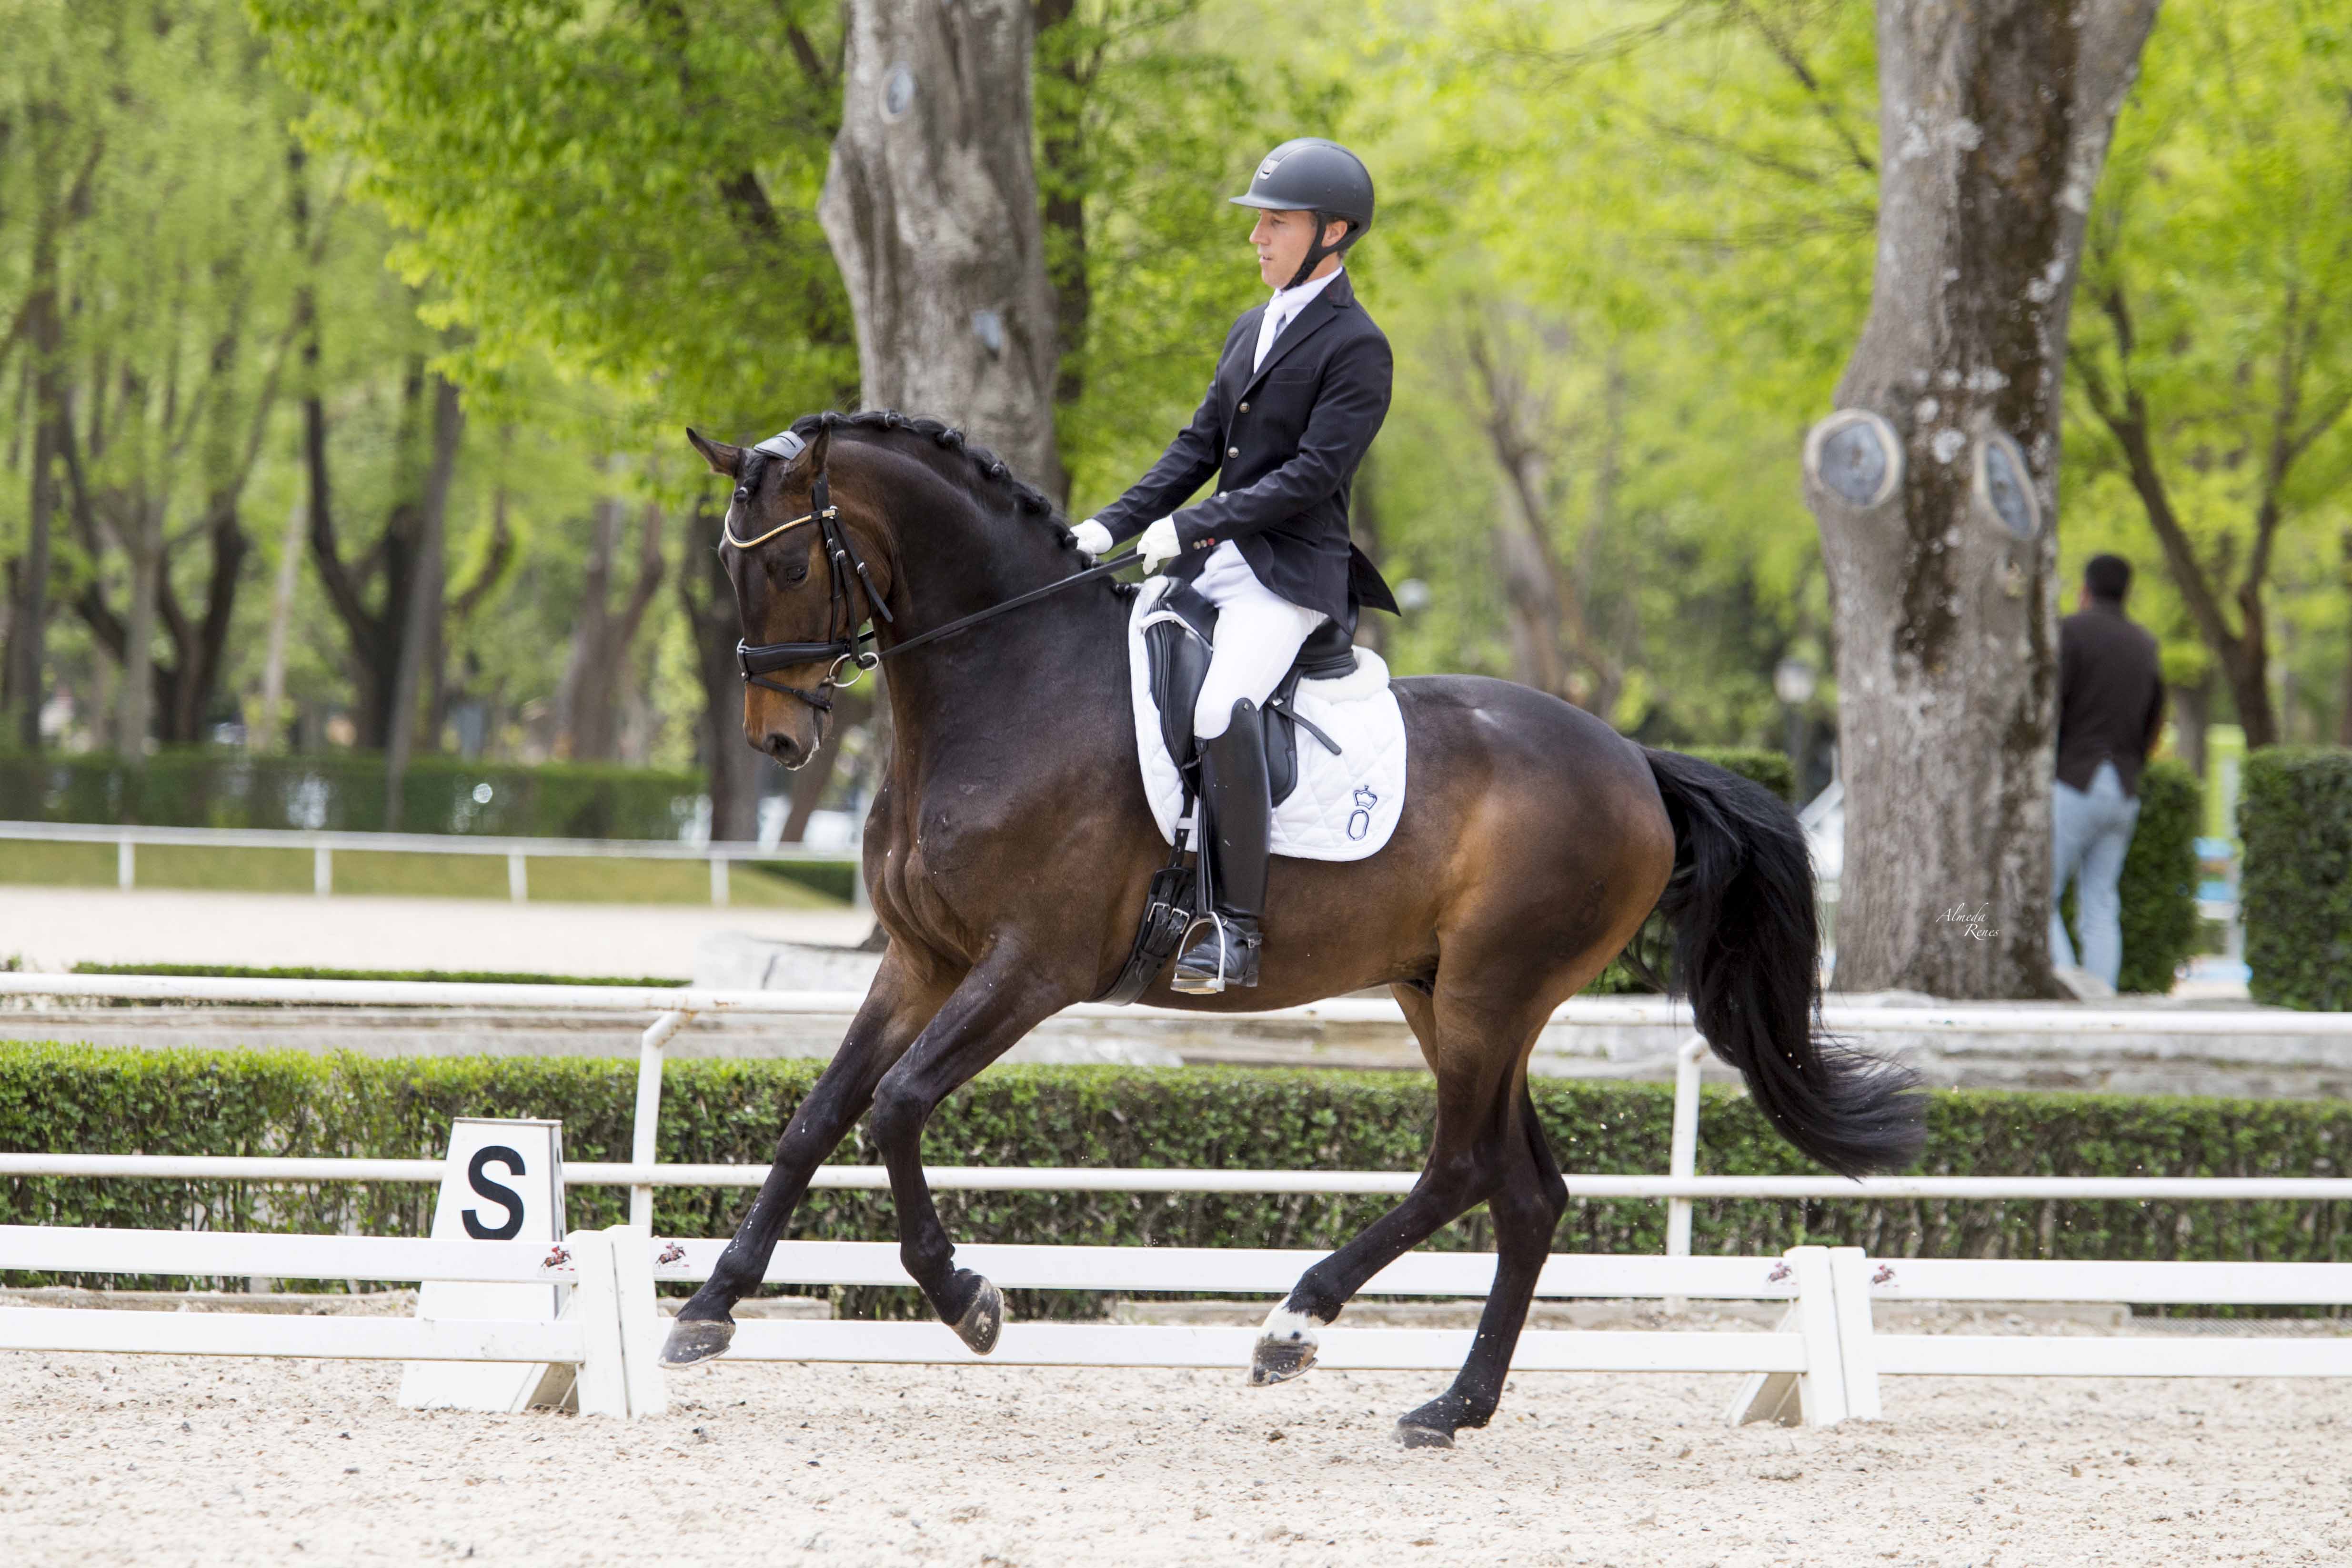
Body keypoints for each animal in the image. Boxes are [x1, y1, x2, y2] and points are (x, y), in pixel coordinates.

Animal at [653, 411, 1919, 1457]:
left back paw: (1294, 1325)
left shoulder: (1032, 968)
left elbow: (900, 1104)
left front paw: (966, 1298)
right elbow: (818, 1116)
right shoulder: (925, 962)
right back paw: (1451, 1405)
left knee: (1462, 1166)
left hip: (1490, 994)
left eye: (785, 563)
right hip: (1440, 991)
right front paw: (708, 1308)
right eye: (725, 564)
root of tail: (1637, 763)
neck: (1007, 685)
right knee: (1527, 1193)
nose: (776, 739)